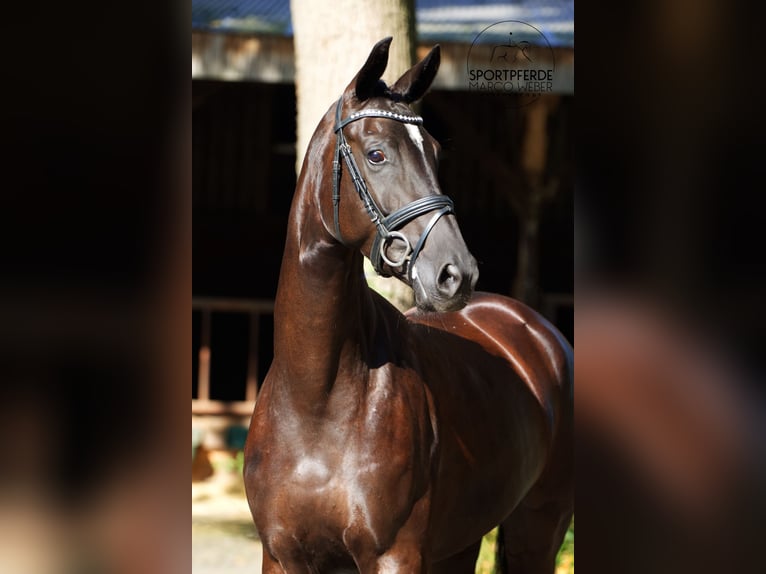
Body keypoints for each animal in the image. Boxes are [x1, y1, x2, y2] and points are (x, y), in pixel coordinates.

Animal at [244, 37, 573, 573]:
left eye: (436, 153)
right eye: (377, 154)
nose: (456, 273)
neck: (316, 398)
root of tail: (542, 336)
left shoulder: (394, 555)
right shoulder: (281, 556)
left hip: (538, 531)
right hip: (461, 543)